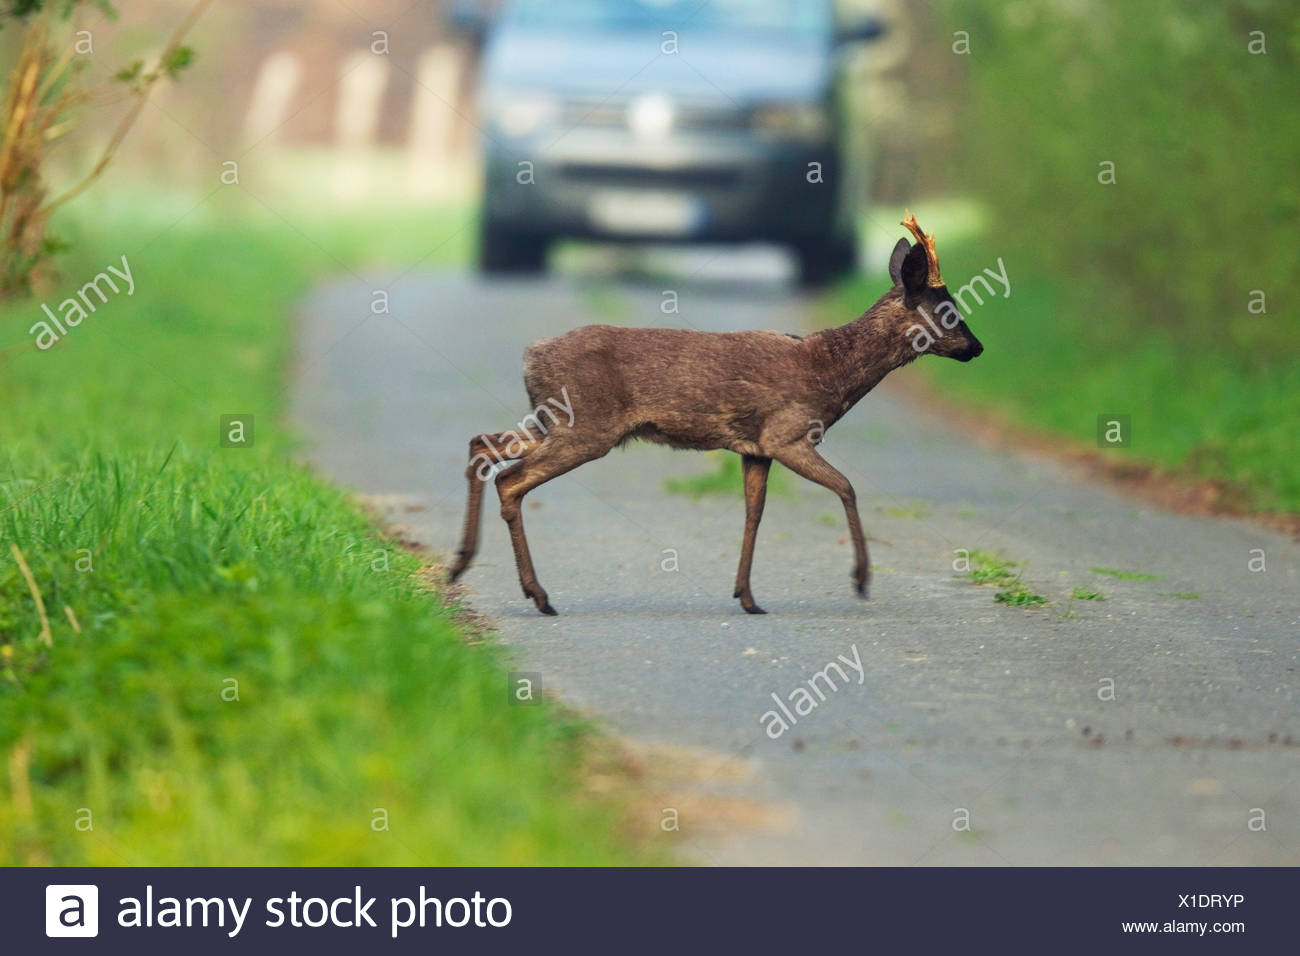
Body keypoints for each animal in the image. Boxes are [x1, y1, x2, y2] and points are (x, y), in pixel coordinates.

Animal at [448, 212, 983, 615]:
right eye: (949, 310)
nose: (977, 348)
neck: (830, 373)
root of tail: (530, 356)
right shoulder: (787, 434)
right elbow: (846, 487)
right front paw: (861, 578)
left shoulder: (755, 448)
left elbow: (754, 513)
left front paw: (746, 596)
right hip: (585, 426)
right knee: (510, 479)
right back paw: (536, 595)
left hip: (551, 420)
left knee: (481, 446)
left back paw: (461, 564)